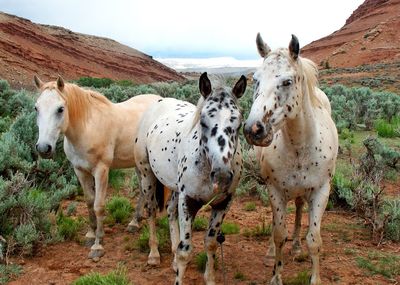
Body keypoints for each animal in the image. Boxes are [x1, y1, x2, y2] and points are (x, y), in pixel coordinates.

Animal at [32, 75, 161, 260]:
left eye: (60, 109)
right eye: (36, 108)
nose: (43, 148)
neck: (87, 128)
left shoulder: (101, 171)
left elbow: (98, 205)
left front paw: (98, 244)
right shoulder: (80, 171)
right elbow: (88, 202)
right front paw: (91, 234)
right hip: (138, 164)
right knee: (142, 192)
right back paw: (134, 222)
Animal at [135, 72, 247, 282]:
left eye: (238, 123)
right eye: (203, 121)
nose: (221, 175)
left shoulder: (223, 203)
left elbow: (211, 243)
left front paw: (210, 279)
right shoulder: (188, 201)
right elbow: (185, 251)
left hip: (174, 187)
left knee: (170, 210)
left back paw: (171, 258)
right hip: (147, 176)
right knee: (151, 210)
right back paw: (153, 255)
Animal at [242, 33, 340, 284]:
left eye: (287, 82)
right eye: (255, 80)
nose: (253, 129)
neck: (299, 147)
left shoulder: (321, 191)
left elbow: (314, 239)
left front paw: (315, 278)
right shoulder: (275, 190)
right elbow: (279, 234)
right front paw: (276, 275)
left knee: (298, 208)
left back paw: (296, 245)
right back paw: (271, 252)